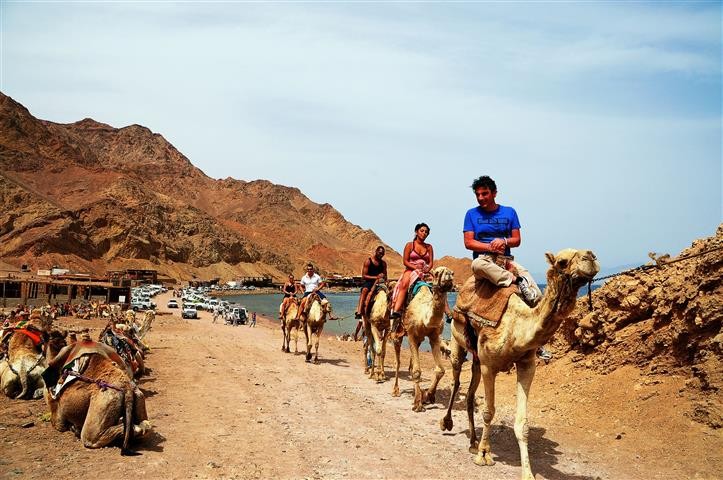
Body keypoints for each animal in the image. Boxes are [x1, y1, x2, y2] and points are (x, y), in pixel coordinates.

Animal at [390, 264, 452, 410]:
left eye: (452, 273)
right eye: (437, 273)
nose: (448, 276)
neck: (425, 316)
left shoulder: (434, 336)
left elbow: (440, 370)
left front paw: (428, 395)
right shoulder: (411, 334)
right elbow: (417, 371)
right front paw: (418, 403)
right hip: (397, 332)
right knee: (398, 361)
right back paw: (396, 390)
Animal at [438, 249, 604, 478]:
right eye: (562, 261)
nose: (591, 256)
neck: (516, 327)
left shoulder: (526, 365)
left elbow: (522, 424)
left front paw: (527, 473)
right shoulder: (490, 366)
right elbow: (489, 411)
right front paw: (484, 455)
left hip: (477, 359)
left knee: (471, 394)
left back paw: (472, 441)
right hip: (458, 341)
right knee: (456, 382)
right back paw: (447, 423)